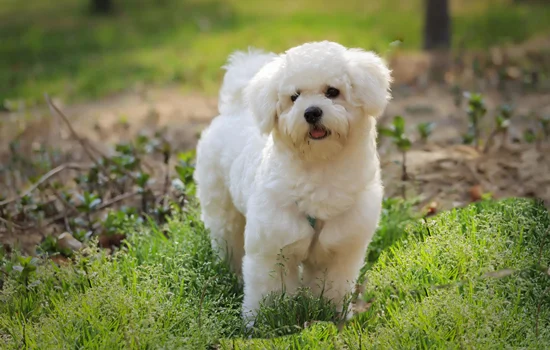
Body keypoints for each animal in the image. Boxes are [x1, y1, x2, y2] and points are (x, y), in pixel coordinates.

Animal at [194, 40, 392, 322]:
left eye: (333, 91)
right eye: (294, 97)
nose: (312, 112)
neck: (320, 166)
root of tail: (235, 108)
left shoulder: (339, 249)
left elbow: (332, 286)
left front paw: (332, 314)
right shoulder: (272, 246)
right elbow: (268, 290)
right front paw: (262, 321)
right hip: (222, 209)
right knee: (227, 242)